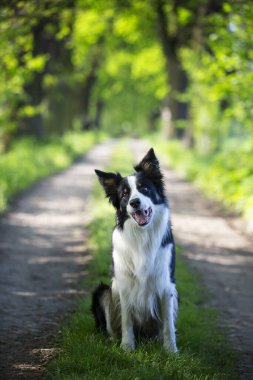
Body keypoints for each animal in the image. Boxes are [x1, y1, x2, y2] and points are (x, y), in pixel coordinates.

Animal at [91, 148, 178, 354]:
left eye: (144, 188)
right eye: (124, 194)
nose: (135, 202)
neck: (142, 235)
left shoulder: (165, 283)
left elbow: (168, 324)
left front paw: (170, 350)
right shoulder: (124, 283)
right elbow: (127, 319)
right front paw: (127, 347)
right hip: (102, 291)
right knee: (110, 327)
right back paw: (114, 341)